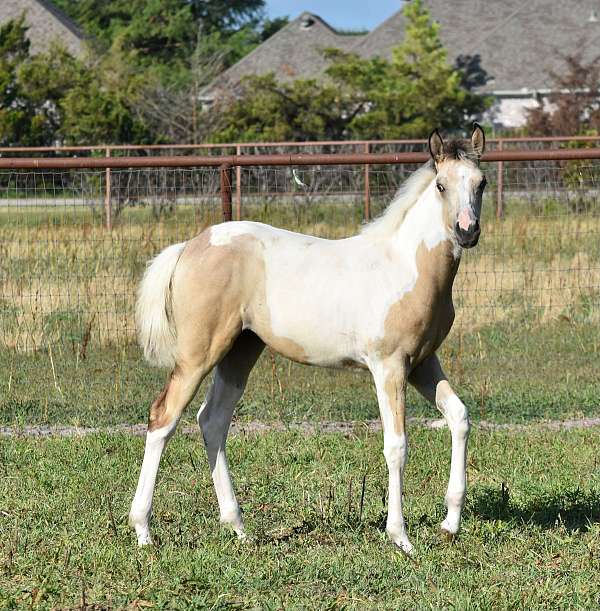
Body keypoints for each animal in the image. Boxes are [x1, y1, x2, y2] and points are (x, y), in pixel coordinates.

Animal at [129, 124, 486, 556]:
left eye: (481, 183)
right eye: (440, 185)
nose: (467, 231)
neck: (406, 266)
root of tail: (190, 247)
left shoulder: (422, 363)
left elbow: (459, 417)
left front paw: (450, 524)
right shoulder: (388, 366)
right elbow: (397, 446)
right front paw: (400, 537)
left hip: (240, 351)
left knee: (212, 420)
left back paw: (238, 527)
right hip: (200, 353)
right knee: (163, 417)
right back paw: (144, 530)